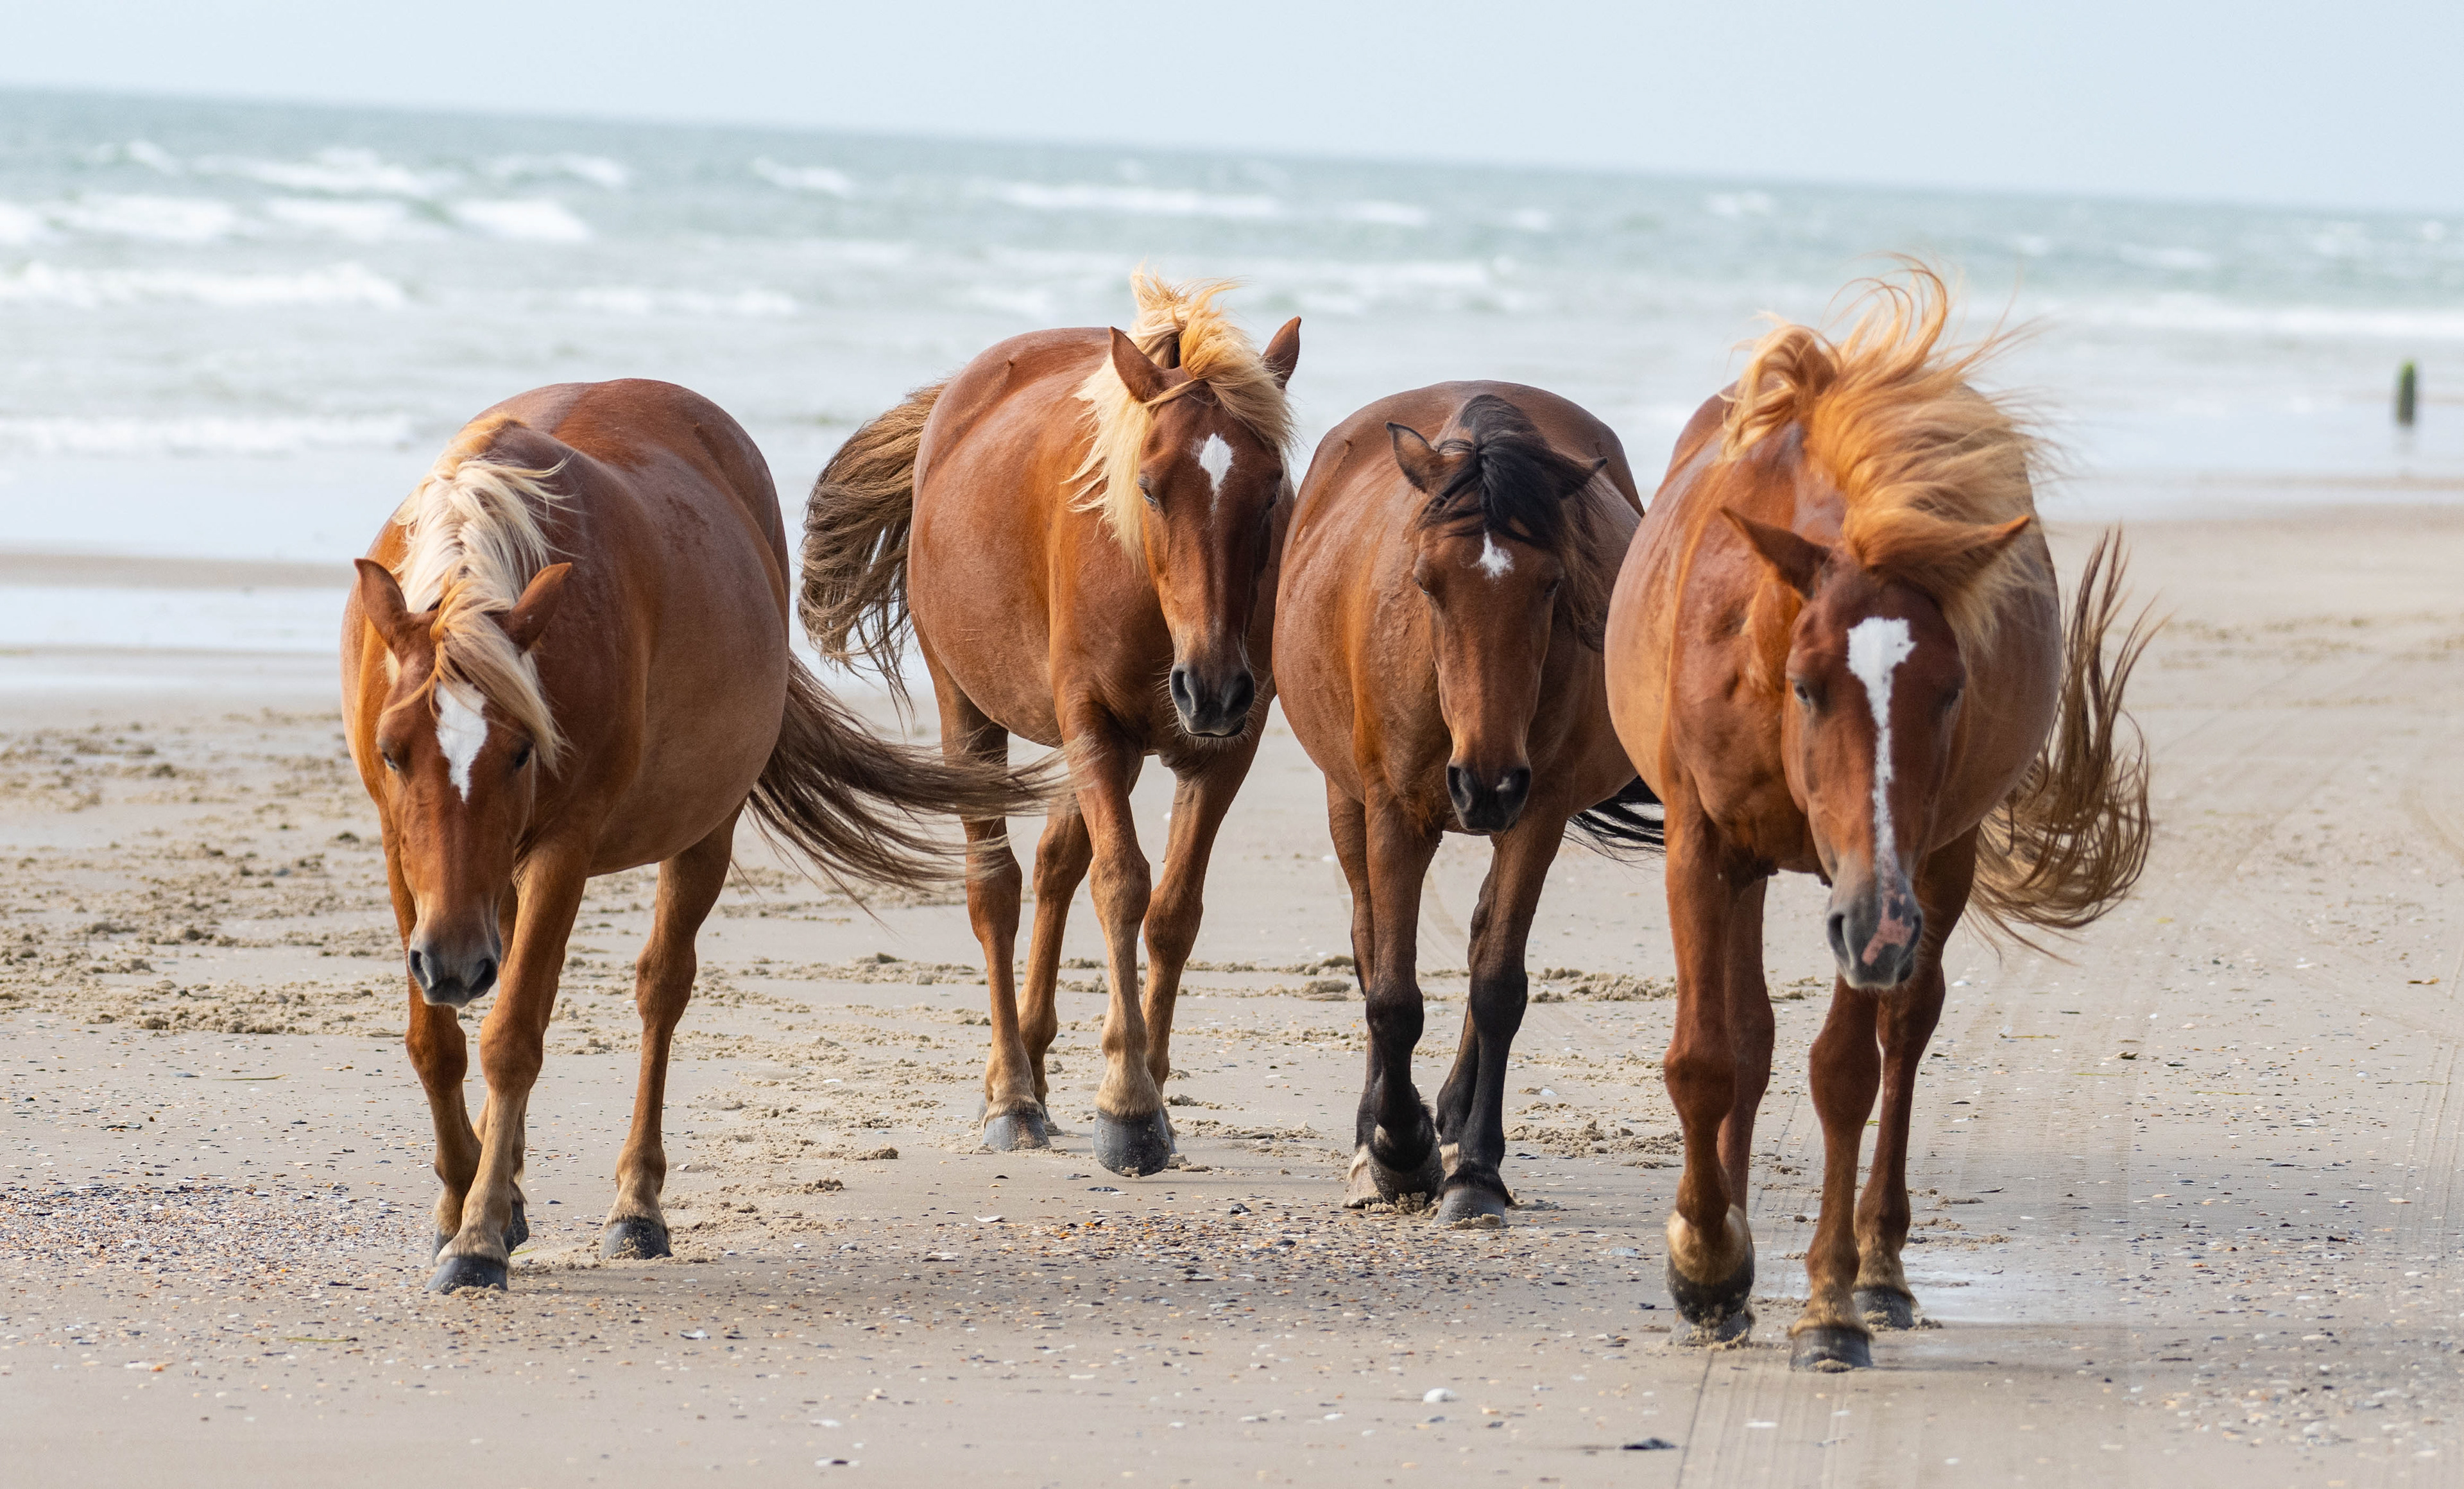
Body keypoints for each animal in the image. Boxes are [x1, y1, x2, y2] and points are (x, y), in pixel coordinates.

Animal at [342, 374, 1045, 1291]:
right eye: (394, 751)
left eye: (523, 749)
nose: (456, 963)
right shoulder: (407, 858)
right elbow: (436, 1043)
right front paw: (463, 1201)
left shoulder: (564, 850)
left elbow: (512, 1037)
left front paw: (479, 1234)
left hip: (702, 830)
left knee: (661, 992)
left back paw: (636, 1206)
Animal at [803, 270, 1310, 1173]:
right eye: (1150, 486)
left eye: (1270, 491)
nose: (1212, 687)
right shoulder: (1093, 725)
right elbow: (1123, 886)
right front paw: (1129, 1106)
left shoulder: (1225, 749)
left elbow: (1174, 910)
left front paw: (1151, 1080)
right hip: (972, 710)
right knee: (997, 887)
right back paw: (1012, 1093)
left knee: (1054, 864)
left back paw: (1035, 1068)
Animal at [1271, 382, 1656, 1223]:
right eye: (1425, 581)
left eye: (1551, 583)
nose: (1485, 780)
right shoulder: (1392, 811)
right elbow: (1391, 993)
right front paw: (1396, 1148)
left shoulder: (1536, 814)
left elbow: (1497, 984)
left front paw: (1474, 1170)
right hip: (1347, 799)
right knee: (1369, 941)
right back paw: (1382, 1131)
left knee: (1481, 942)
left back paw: (1449, 1118)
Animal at [1596, 270, 2158, 1370]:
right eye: (1810, 685)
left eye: (1950, 689)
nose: (1882, 925)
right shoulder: (1703, 844)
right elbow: (1708, 1057)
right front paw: (1707, 1263)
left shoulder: (1885, 886)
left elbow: (1846, 1072)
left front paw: (1827, 1302)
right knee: (1750, 1036)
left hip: (1934, 868)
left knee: (1905, 1034)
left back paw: (1882, 1271)